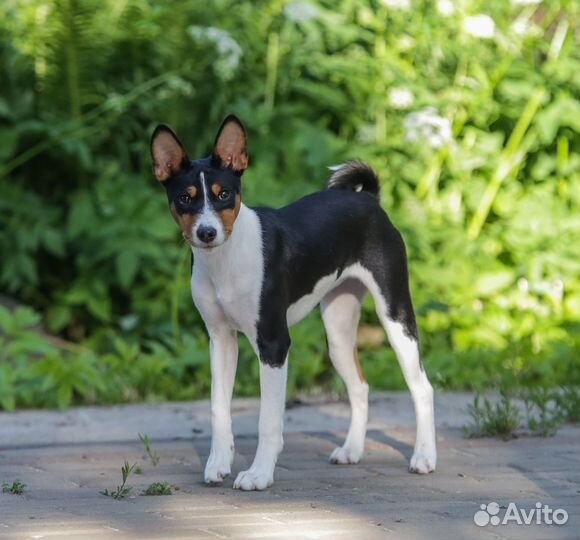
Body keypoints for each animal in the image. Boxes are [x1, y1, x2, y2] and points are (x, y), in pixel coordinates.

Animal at [150, 114, 436, 490]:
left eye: (223, 194)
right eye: (185, 198)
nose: (207, 233)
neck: (226, 261)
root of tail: (370, 202)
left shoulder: (274, 344)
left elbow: (268, 420)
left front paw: (259, 474)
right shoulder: (221, 340)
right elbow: (218, 409)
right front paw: (219, 463)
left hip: (396, 317)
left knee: (422, 388)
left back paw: (424, 457)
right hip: (338, 331)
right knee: (360, 387)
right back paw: (351, 450)